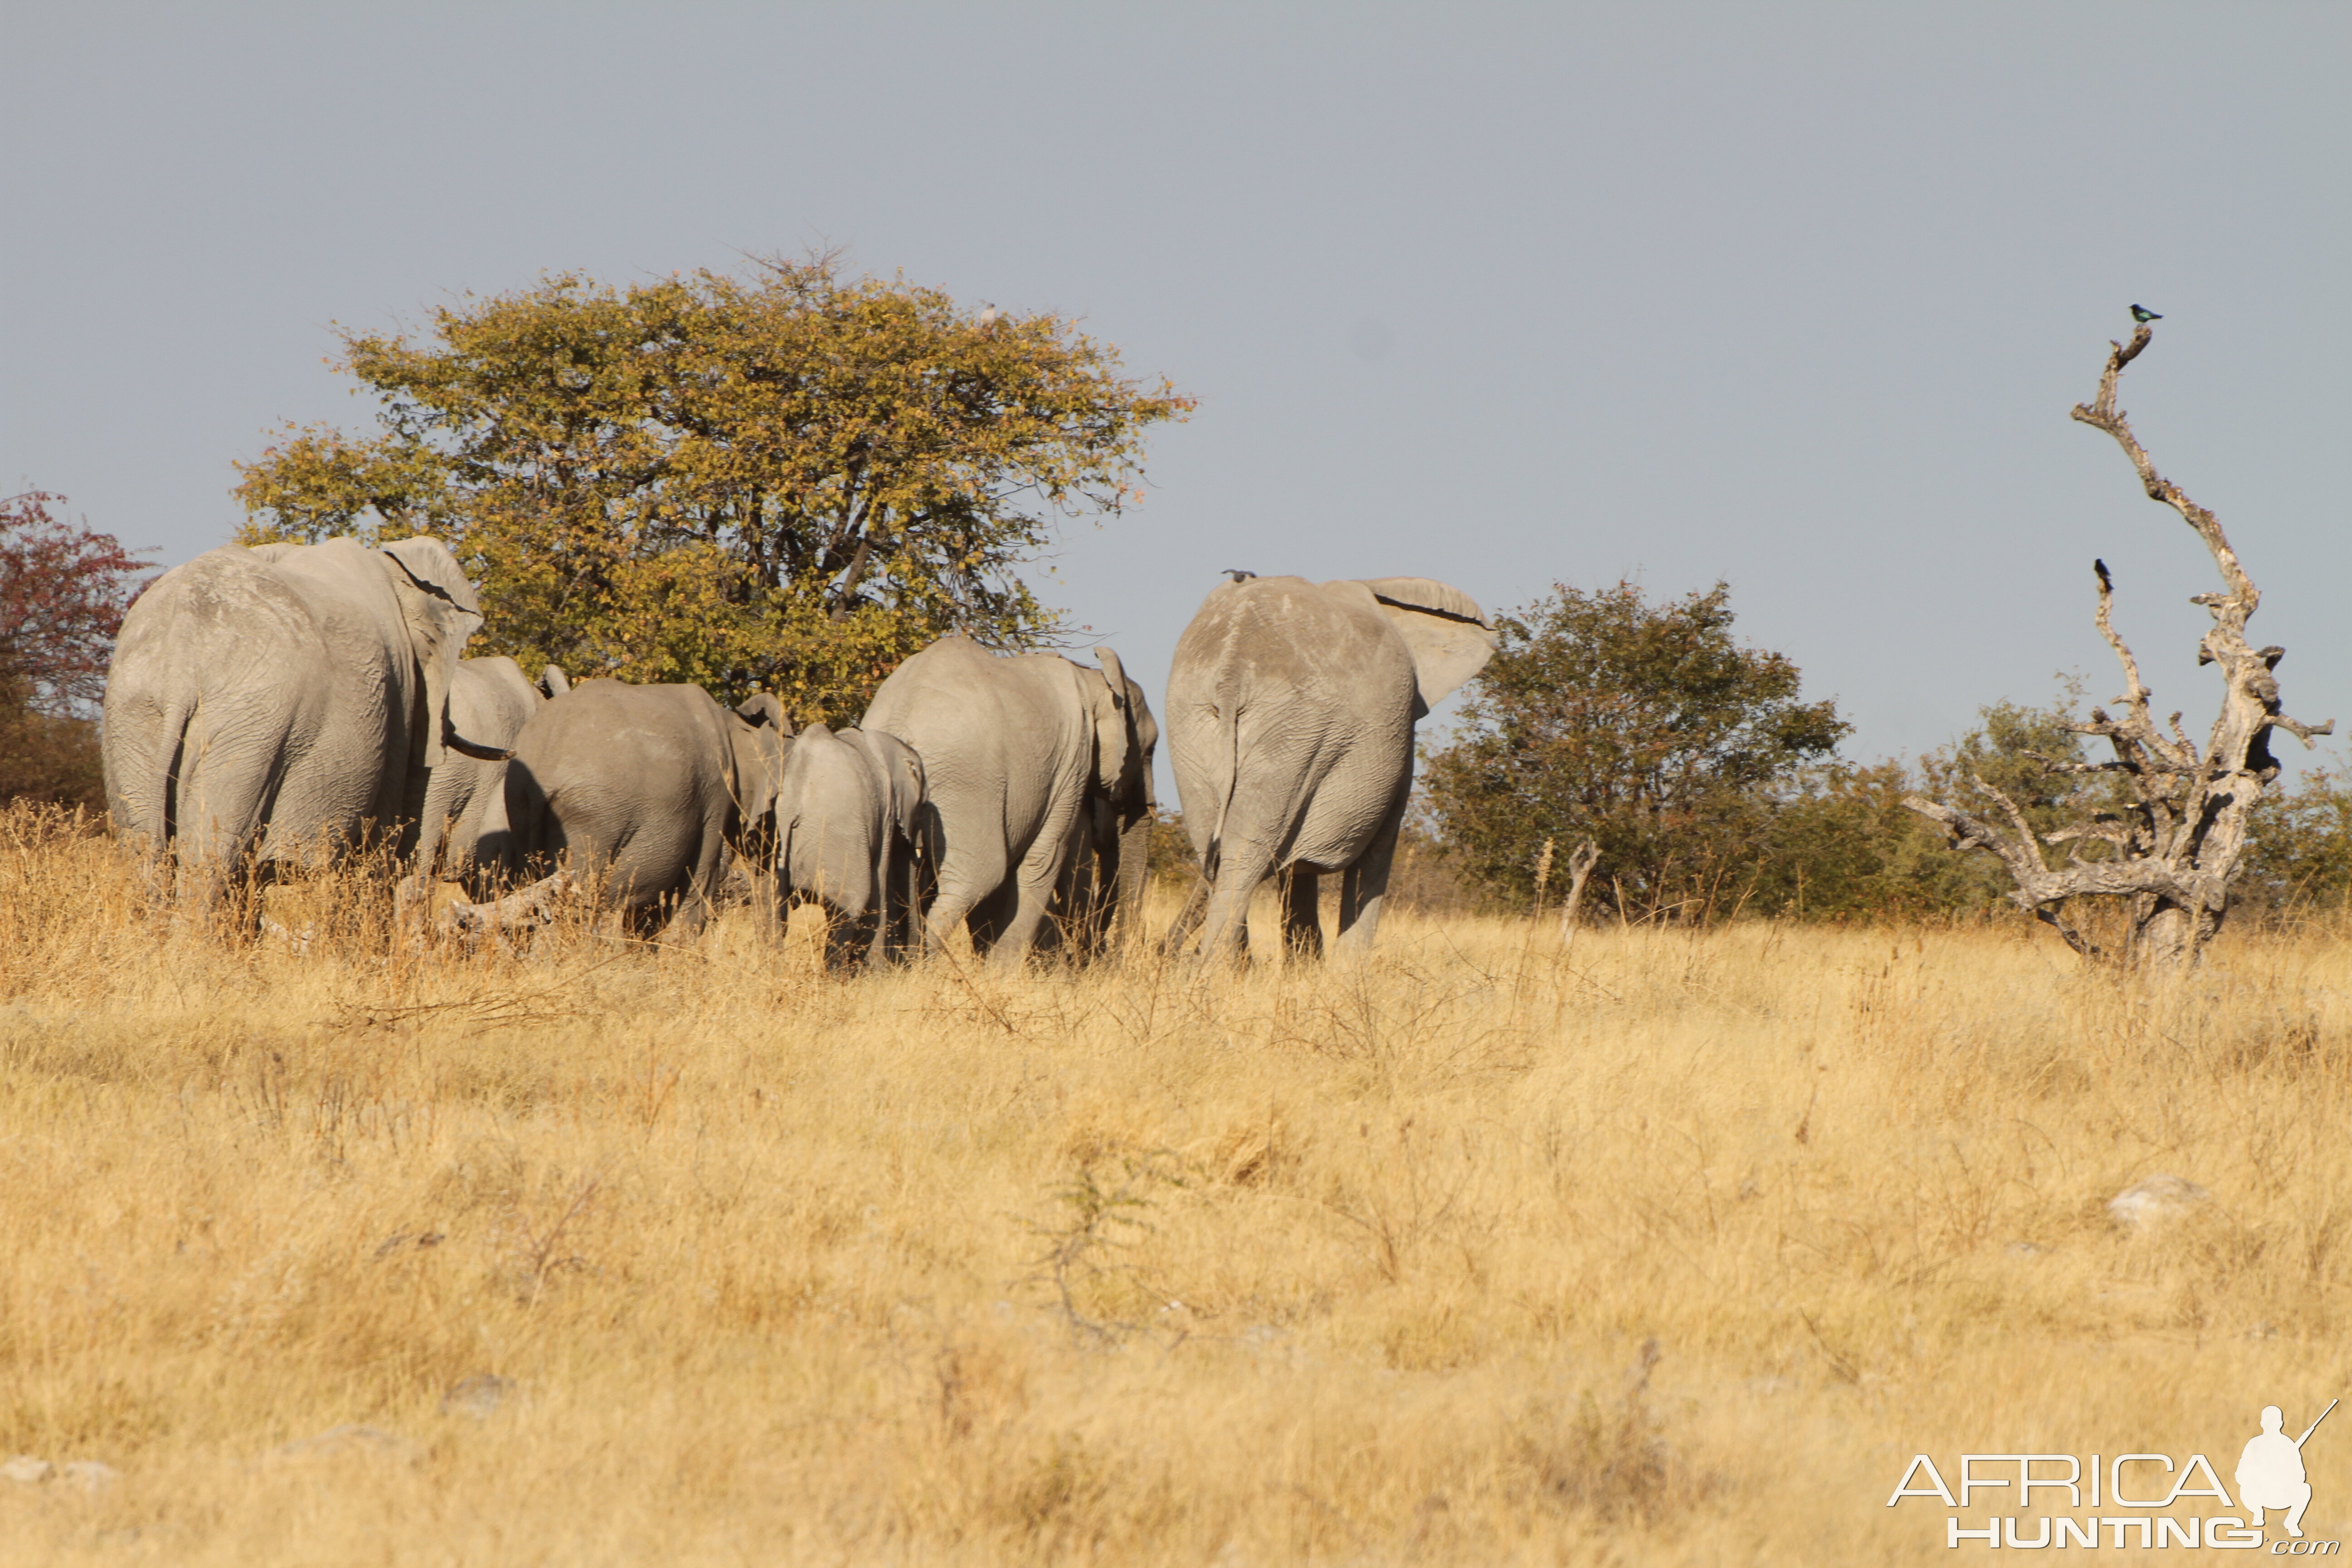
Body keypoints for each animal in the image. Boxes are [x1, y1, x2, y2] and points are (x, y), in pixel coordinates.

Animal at [101, 536, 482, 921]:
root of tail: (180, 661)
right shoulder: (398, 696)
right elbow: (376, 848)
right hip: (254, 732)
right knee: (210, 859)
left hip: (134, 721)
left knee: (148, 853)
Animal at [766, 724, 922, 968]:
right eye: (922, 807)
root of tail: (792, 801)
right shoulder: (886, 811)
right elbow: (878, 884)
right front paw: (876, 972)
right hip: (837, 842)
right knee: (850, 904)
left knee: (776, 912)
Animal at [865, 630, 1157, 964]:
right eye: (1151, 750)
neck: (1093, 678)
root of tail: (900, 720)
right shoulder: (1072, 762)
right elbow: (1044, 860)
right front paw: (1000, 971)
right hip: (967, 783)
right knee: (975, 879)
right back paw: (928, 968)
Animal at [1166, 576, 1496, 964]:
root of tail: (1232, 669)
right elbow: (1377, 851)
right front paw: (1347, 973)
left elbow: (1296, 870)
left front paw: (1306, 968)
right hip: (1299, 732)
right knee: (1246, 851)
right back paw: (1214, 970)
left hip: (1195, 725)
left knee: (1213, 844)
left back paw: (1223, 967)